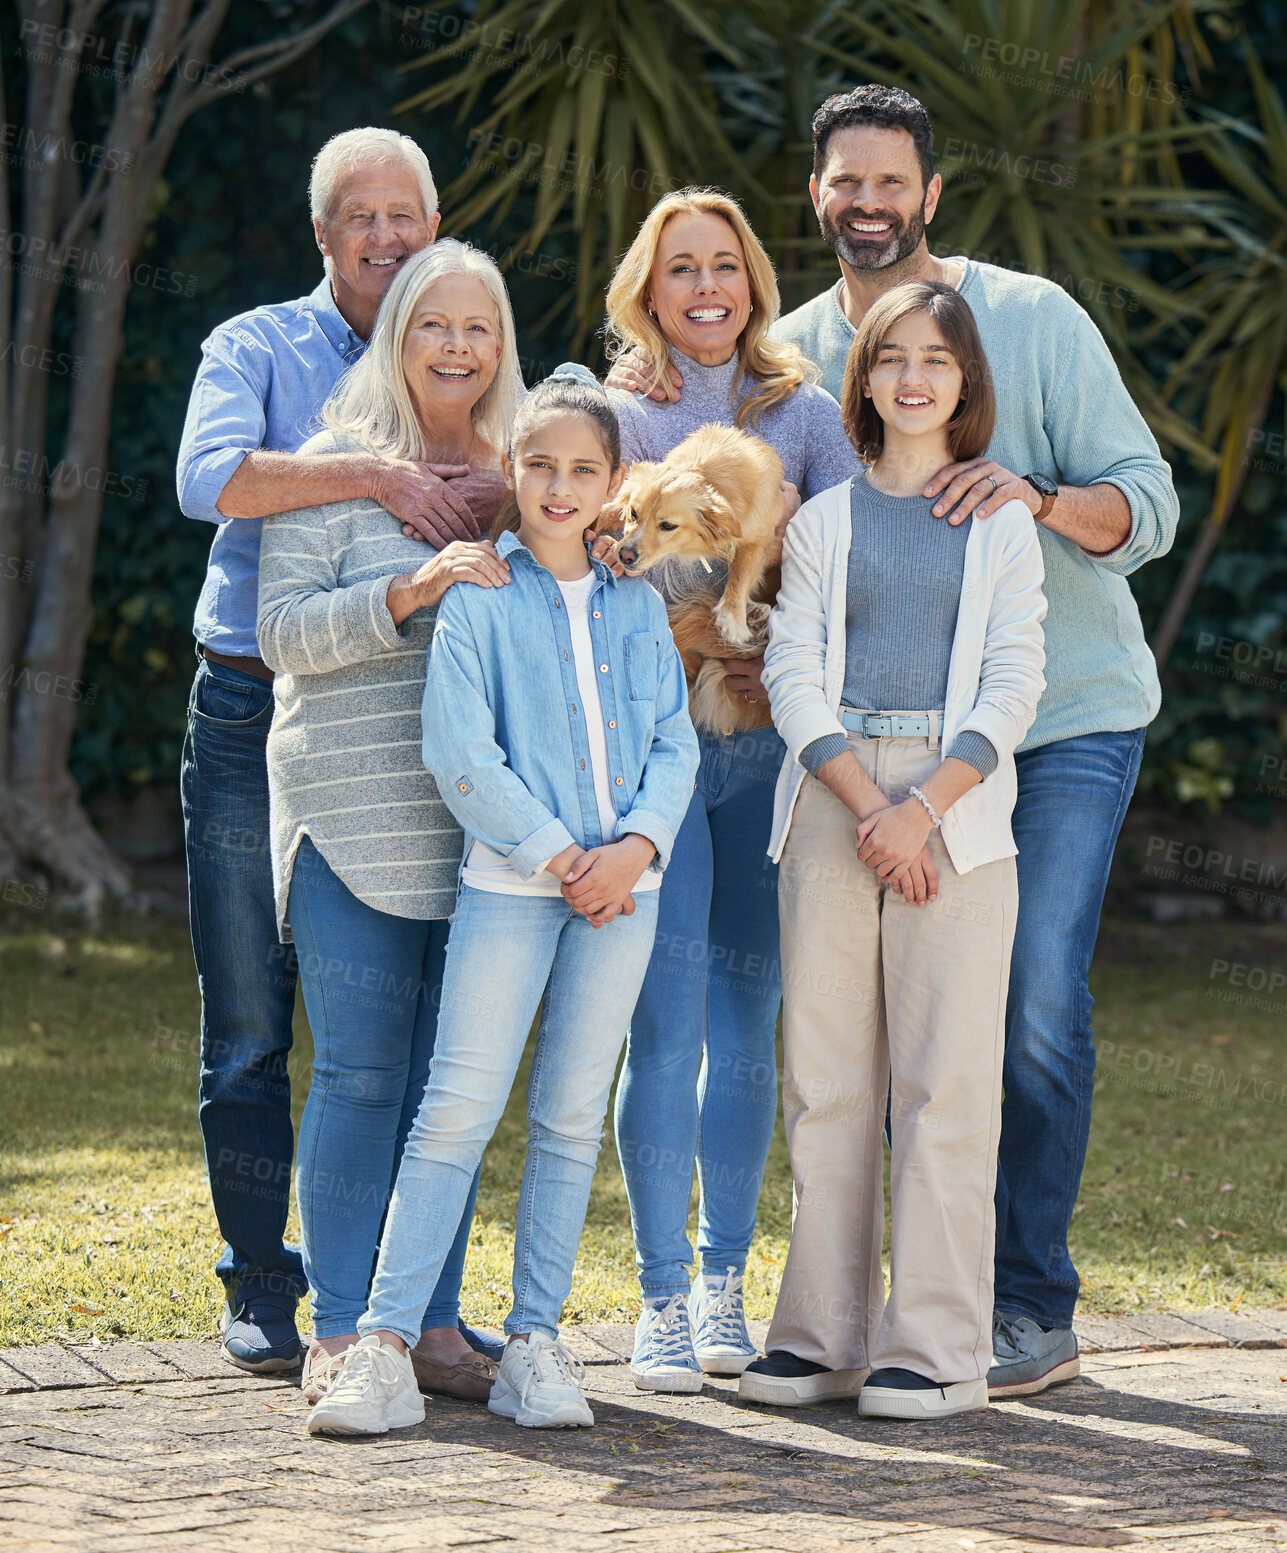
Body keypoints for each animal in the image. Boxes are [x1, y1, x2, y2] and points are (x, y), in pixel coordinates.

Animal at [593, 422, 782, 736]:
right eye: (634, 513)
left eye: (668, 526)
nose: (625, 555)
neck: (704, 469)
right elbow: (611, 506)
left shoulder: (760, 535)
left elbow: (742, 568)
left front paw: (732, 616)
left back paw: (757, 616)